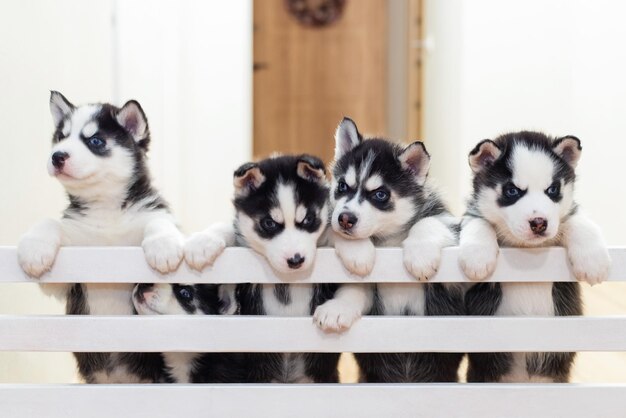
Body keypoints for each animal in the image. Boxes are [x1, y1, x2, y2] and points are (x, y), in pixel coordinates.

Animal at [16, 90, 183, 382]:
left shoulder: (152, 212)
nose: (57, 156)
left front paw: (163, 246)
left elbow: (159, 221)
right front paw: (35, 249)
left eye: (95, 141)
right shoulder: (69, 275)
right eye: (61, 137)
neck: (107, 212)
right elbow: (50, 223)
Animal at [312, 117, 464, 382]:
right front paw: (337, 307)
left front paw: (420, 256)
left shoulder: (452, 285)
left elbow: (429, 222)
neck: (389, 241)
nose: (345, 219)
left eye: (380, 194)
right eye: (342, 186)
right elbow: (355, 290)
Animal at [458, 131, 608, 382]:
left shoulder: (564, 219)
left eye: (552, 190)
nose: (539, 222)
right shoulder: (473, 215)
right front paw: (477, 257)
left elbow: (577, 220)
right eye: (512, 191)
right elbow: (477, 221)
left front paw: (593, 261)